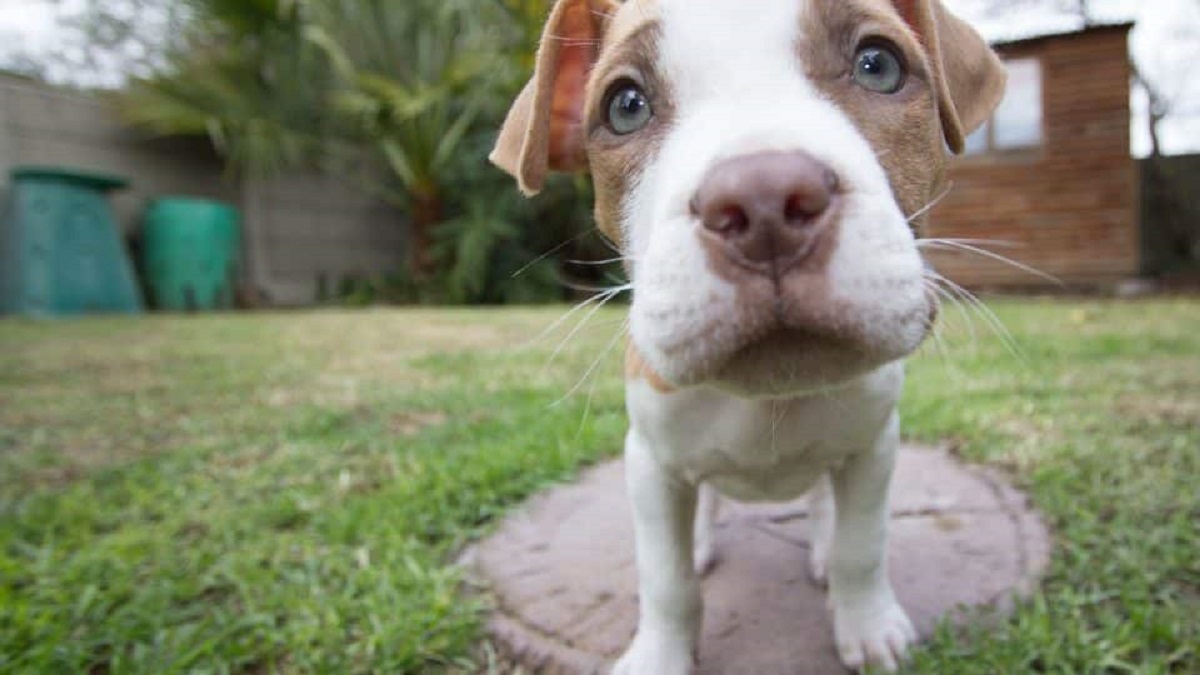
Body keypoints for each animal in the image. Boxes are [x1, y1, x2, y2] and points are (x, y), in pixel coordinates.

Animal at [487, 1, 1003, 667]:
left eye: (878, 64)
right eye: (625, 105)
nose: (764, 201)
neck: (767, 399)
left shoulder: (874, 448)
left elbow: (861, 547)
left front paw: (867, 627)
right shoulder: (649, 463)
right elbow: (666, 578)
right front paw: (661, 656)